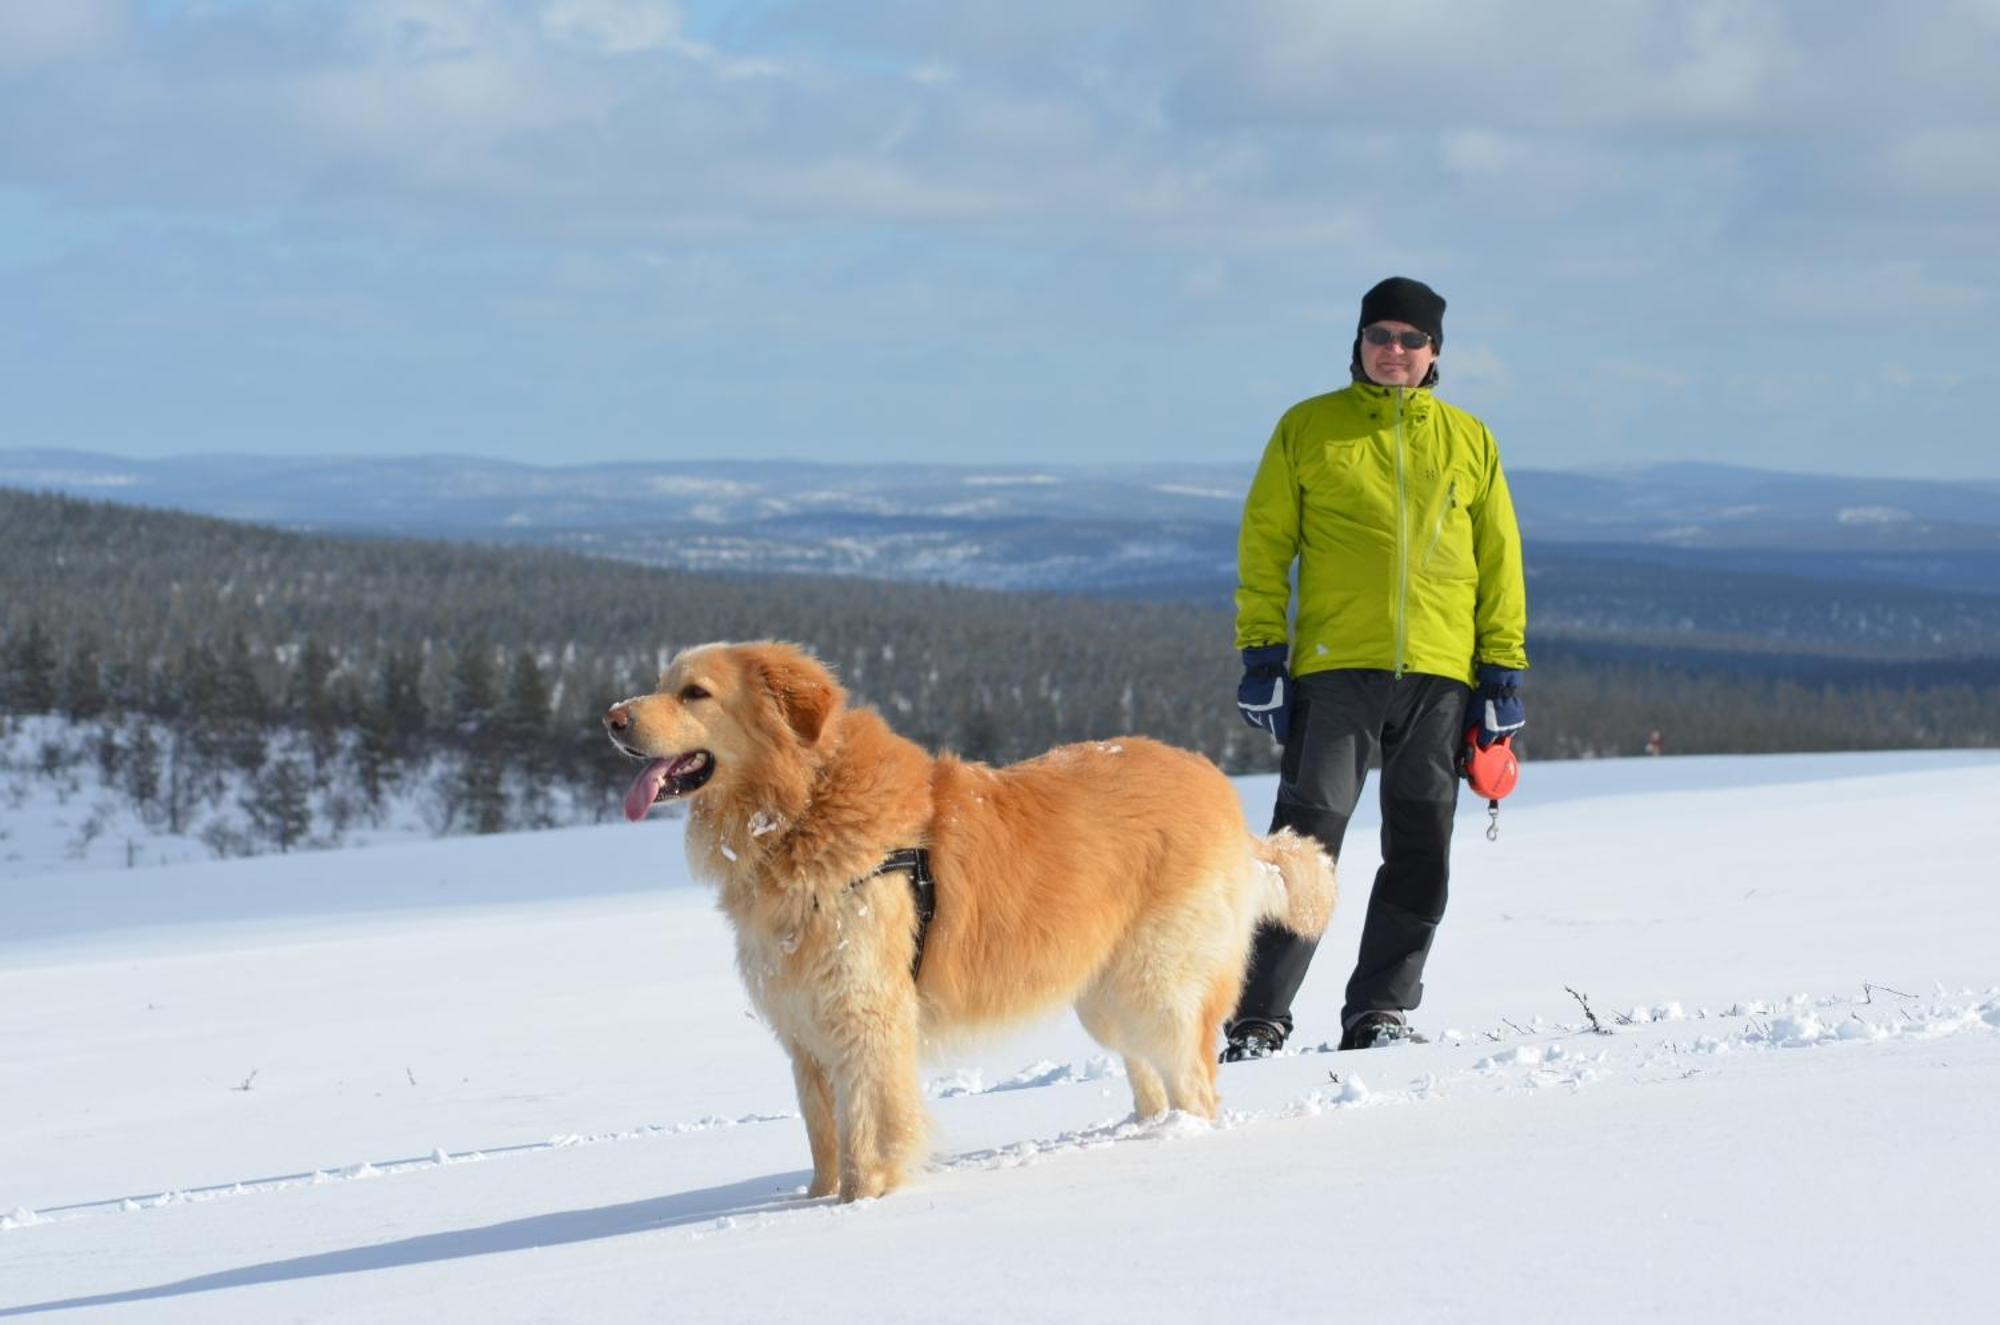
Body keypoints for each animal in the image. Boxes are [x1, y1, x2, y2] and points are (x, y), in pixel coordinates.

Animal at [600, 644, 1336, 1200]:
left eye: (695, 693)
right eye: (661, 685)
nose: (611, 717)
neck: (803, 806)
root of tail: (1223, 795)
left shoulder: (865, 1014)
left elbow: (866, 1129)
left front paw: (862, 1201)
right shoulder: (804, 1028)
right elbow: (822, 1135)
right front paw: (815, 1202)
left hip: (1154, 983)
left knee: (1196, 1083)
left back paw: (1181, 1143)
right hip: (1108, 996)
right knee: (1151, 1075)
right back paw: (1144, 1131)